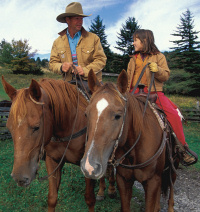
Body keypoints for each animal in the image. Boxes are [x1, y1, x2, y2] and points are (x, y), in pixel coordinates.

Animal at [1, 76, 115, 212]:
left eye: (37, 127)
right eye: (9, 128)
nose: (19, 177)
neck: (69, 125)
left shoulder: (88, 165)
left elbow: (89, 198)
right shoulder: (53, 161)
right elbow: (52, 198)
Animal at [81, 70, 178, 212]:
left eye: (118, 115)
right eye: (86, 114)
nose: (89, 166)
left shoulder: (152, 182)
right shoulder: (123, 180)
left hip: (173, 165)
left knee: (171, 185)